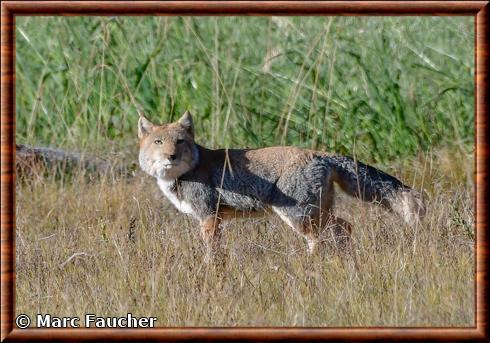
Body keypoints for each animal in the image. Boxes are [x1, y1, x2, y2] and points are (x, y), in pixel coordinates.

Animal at [138, 111, 424, 262]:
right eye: (159, 142)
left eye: (180, 142)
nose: (171, 156)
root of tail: (319, 153)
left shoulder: (209, 217)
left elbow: (212, 253)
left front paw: (211, 271)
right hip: (318, 214)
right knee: (345, 226)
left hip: (298, 216)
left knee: (319, 238)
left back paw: (309, 265)